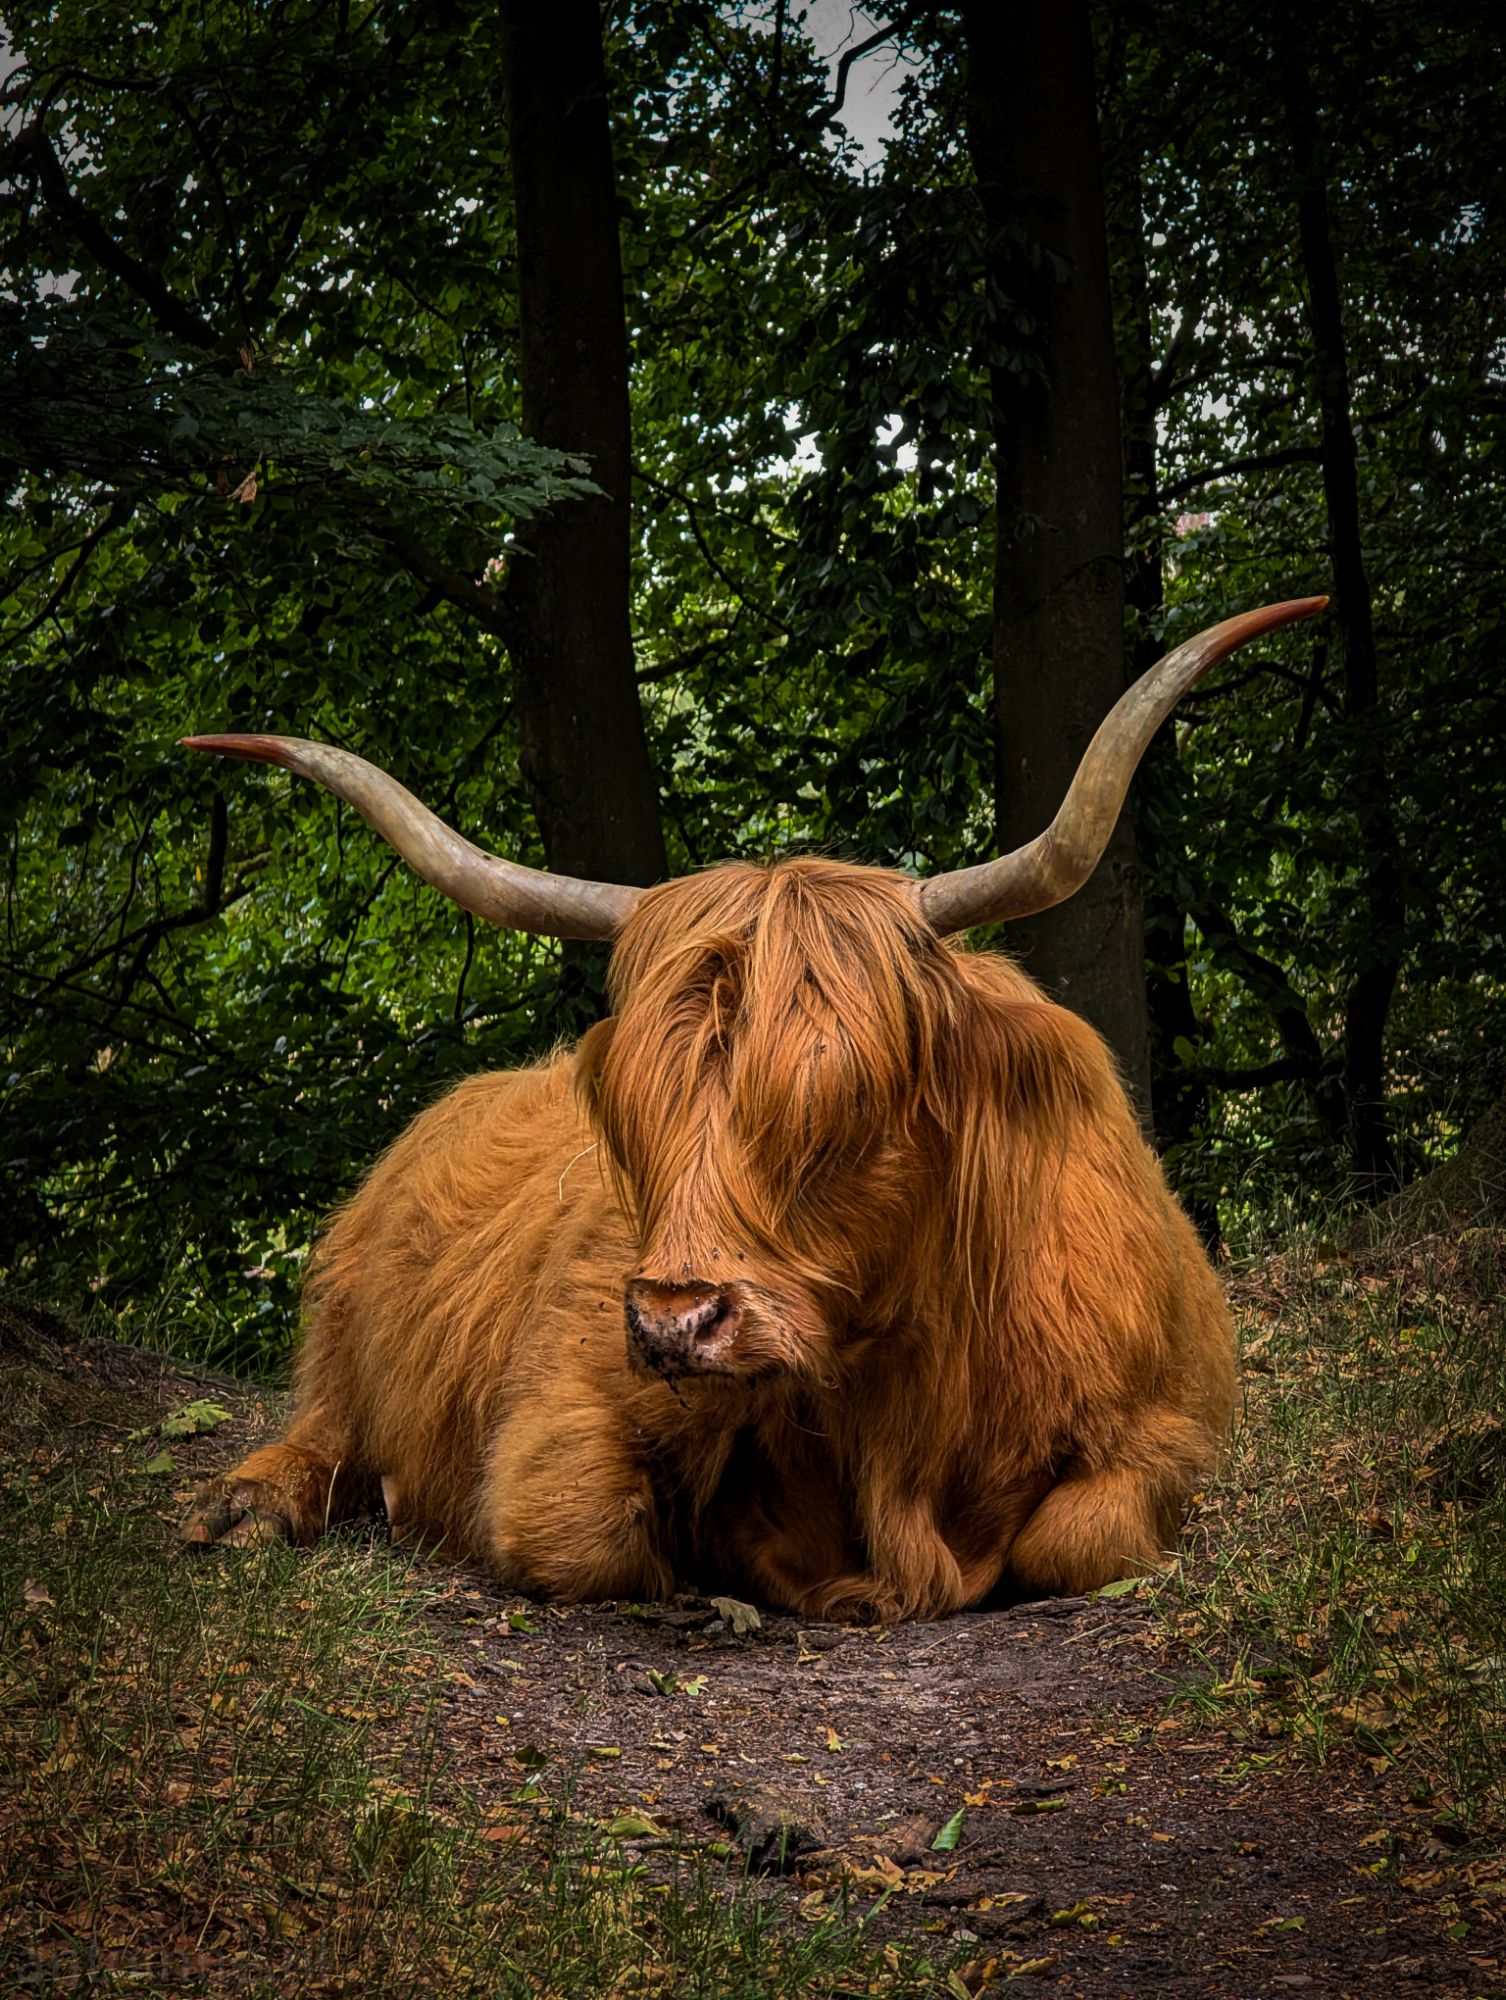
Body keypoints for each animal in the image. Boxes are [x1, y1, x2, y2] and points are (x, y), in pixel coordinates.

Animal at [182, 598, 1324, 1620]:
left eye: (852, 1105)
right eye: (628, 1116)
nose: (672, 1321)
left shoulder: (1164, 1420)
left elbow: (1078, 1536)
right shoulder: (565, 1407)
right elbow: (576, 1526)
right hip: (343, 1322)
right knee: (324, 1426)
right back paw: (245, 1506)